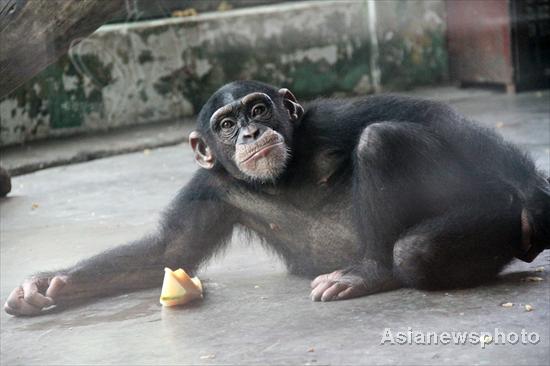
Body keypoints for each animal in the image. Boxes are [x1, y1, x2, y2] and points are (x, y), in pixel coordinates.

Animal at [5, 80, 550, 314]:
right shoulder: (208, 190)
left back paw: (370, 272)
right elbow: (168, 250)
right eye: (226, 124)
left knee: (385, 150)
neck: (282, 177)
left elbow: (429, 115)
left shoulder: (330, 119)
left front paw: (535, 196)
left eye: (259, 109)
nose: (250, 132)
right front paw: (48, 286)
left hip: (479, 204)